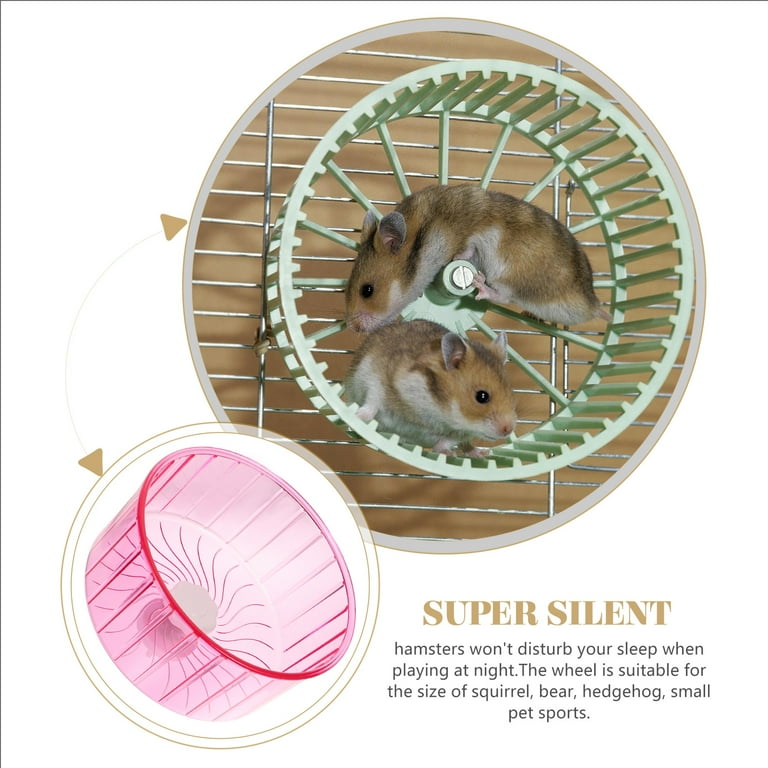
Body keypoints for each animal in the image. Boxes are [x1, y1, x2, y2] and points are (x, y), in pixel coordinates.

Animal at [344, 318, 517, 457]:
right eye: (482, 396)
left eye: (511, 395)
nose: (508, 430)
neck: (438, 408)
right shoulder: (376, 377)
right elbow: (373, 401)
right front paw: (358, 416)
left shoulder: (460, 433)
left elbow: (447, 442)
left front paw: (449, 454)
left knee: (467, 446)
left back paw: (480, 453)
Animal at [345, 183, 611, 332]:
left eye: (367, 290)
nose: (352, 328)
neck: (425, 232)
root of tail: (591, 304)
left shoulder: (472, 234)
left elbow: (467, 249)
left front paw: (457, 258)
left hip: (510, 276)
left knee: (502, 296)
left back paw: (480, 285)